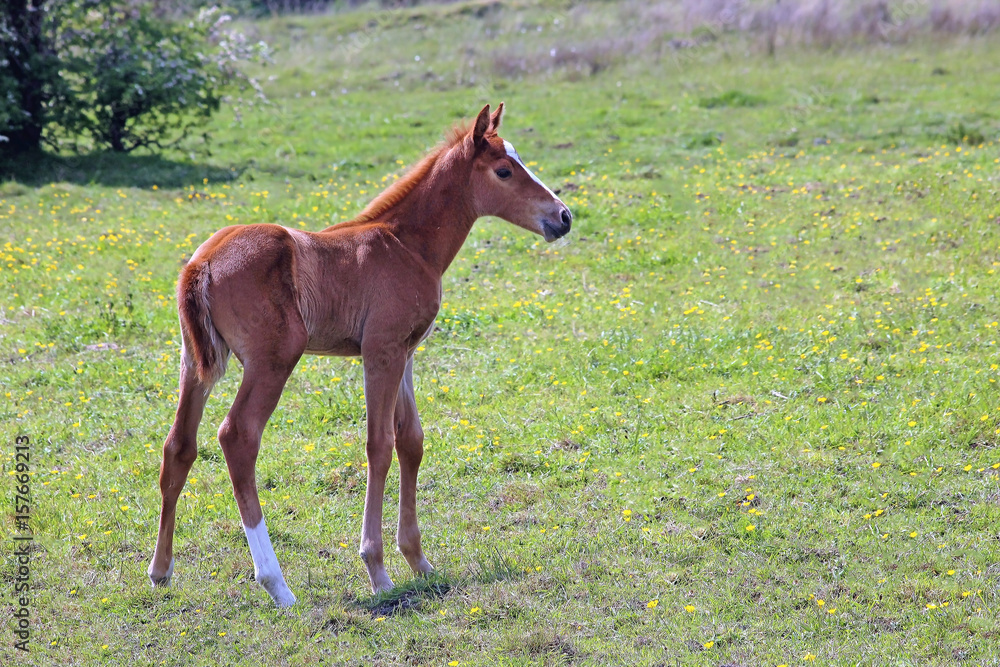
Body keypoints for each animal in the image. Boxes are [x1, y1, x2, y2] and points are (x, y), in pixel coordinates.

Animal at [147, 103, 572, 606]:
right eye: (504, 170)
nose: (563, 217)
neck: (405, 243)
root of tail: (203, 262)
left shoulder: (406, 353)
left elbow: (412, 441)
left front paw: (419, 561)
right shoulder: (380, 351)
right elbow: (379, 445)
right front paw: (377, 569)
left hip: (195, 363)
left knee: (179, 445)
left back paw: (160, 571)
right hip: (274, 360)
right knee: (238, 437)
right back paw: (277, 584)